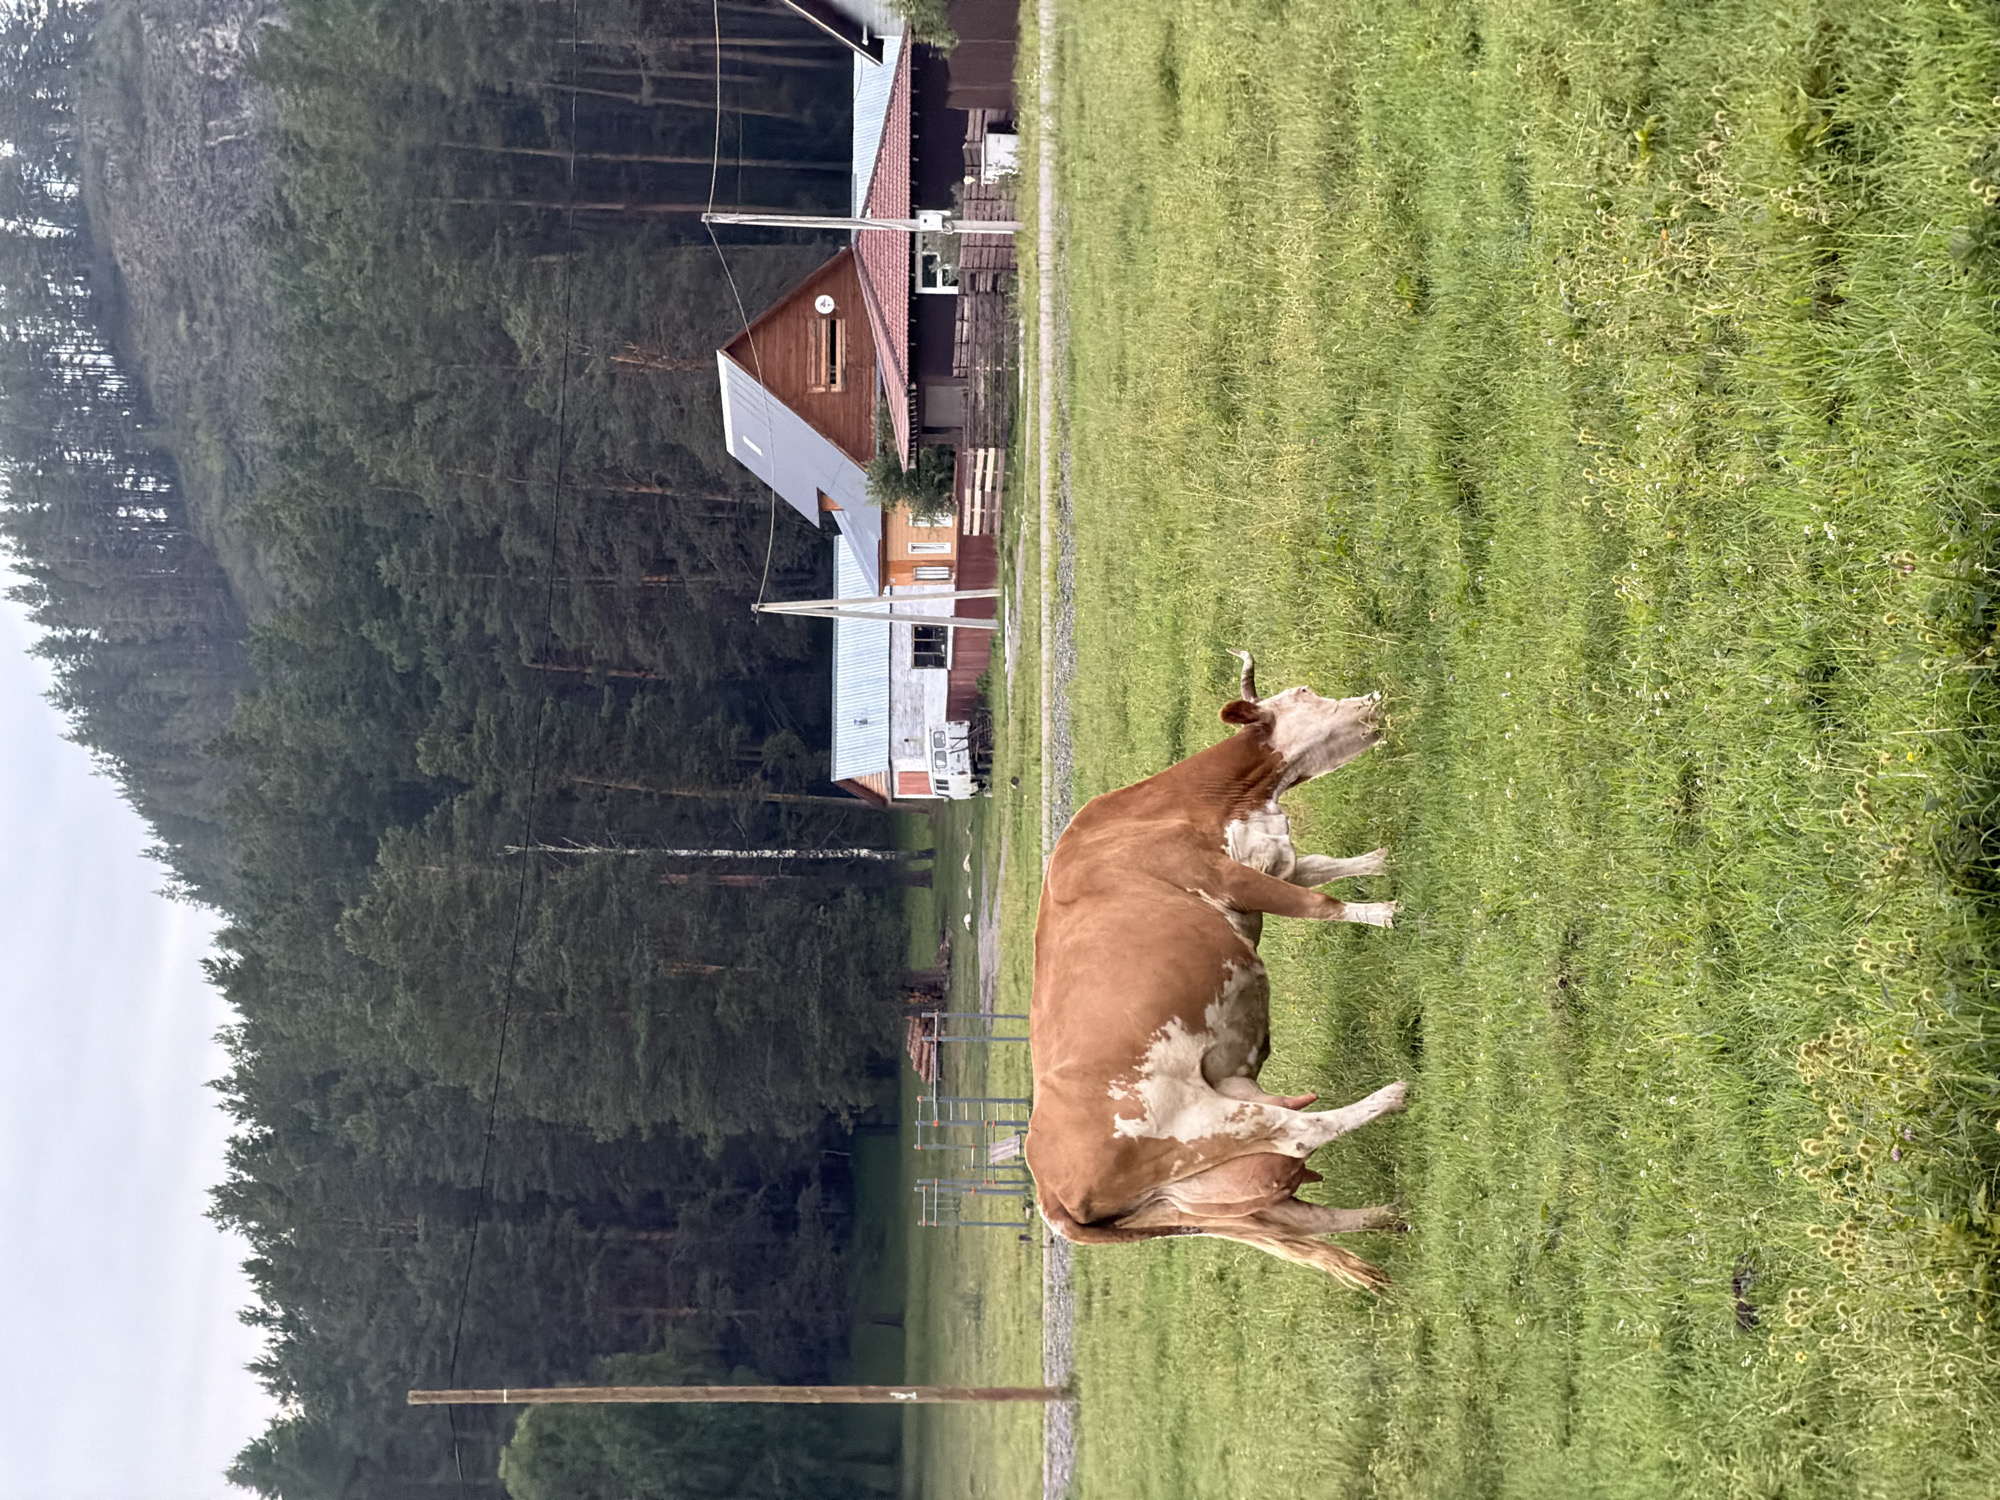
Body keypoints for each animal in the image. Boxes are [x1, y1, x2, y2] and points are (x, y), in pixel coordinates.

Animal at [1025, 652, 1410, 1293]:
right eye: (1304, 692)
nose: (1372, 700)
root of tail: (1049, 1193)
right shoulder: (1229, 876)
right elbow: (1316, 902)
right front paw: (1384, 913)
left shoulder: (1268, 858)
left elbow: (1322, 869)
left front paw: (1382, 862)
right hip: (1203, 1122)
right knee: (1301, 1132)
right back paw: (1390, 1099)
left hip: (1203, 1193)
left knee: (1297, 1214)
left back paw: (1389, 1215)